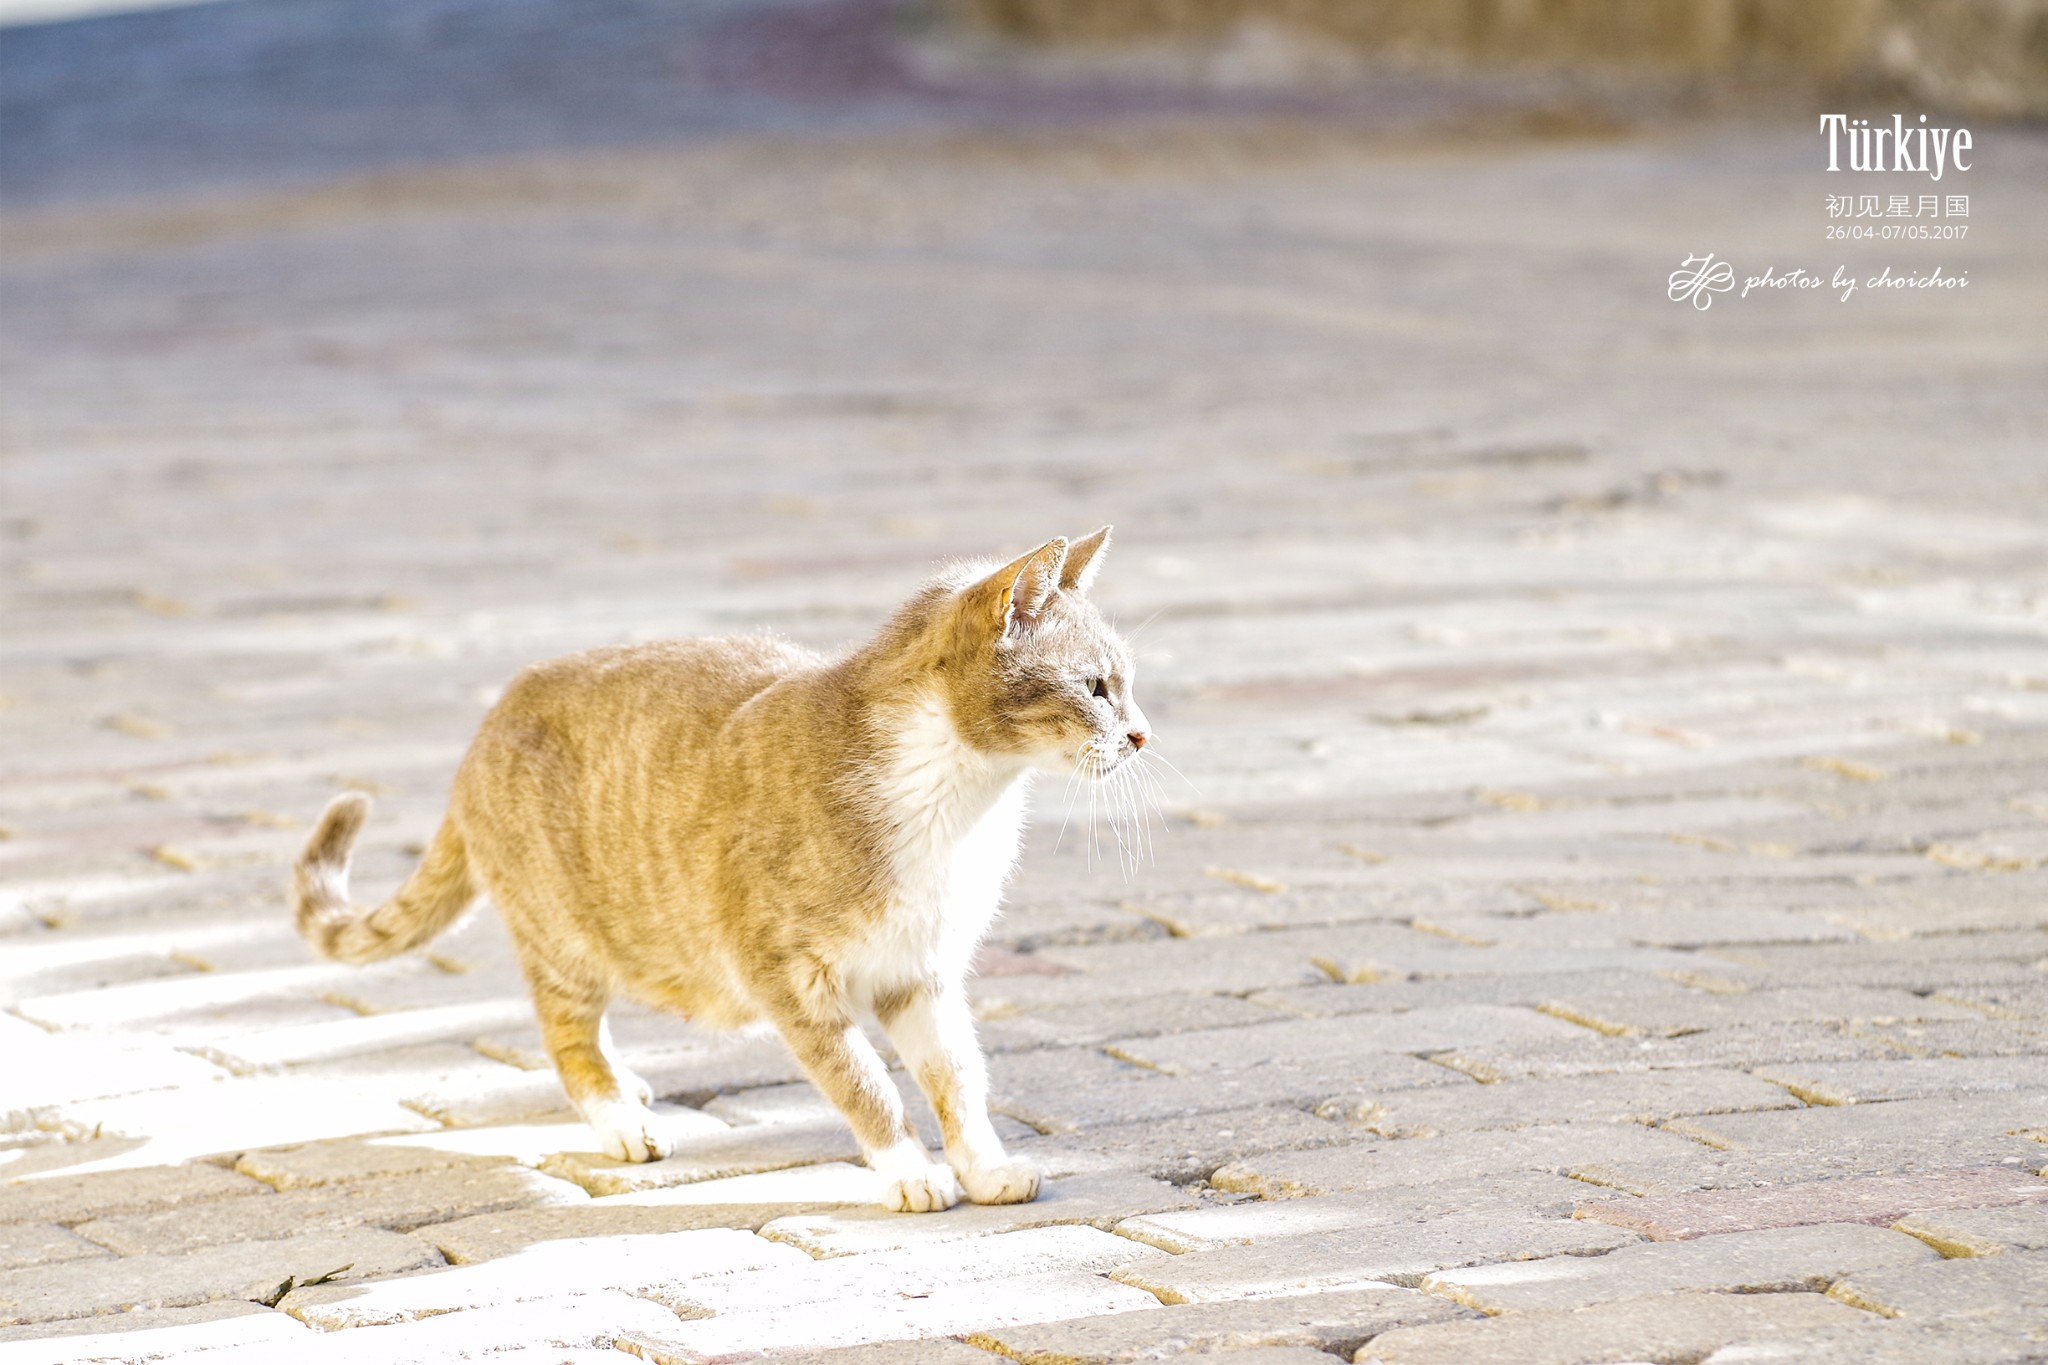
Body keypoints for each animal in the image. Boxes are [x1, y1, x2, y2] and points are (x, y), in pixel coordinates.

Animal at [290, 527, 1155, 1211]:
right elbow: (864, 1081)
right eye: (1096, 686)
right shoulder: (787, 974)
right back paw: (622, 1117)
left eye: (1126, 685)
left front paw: (984, 1166)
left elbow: (958, 1078)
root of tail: (492, 716)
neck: (959, 802)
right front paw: (909, 1170)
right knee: (567, 1034)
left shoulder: (922, 969)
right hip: (564, 938)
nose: (1143, 734)